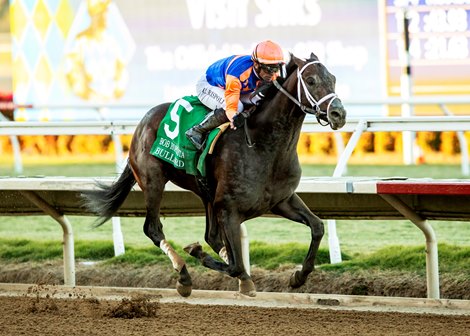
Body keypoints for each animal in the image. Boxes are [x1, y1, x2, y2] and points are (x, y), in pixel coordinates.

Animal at [81, 51, 346, 296]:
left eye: (333, 78)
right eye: (310, 80)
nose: (339, 114)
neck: (264, 145)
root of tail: (141, 124)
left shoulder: (281, 200)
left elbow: (317, 227)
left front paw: (298, 277)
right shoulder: (229, 209)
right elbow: (235, 265)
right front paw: (198, 253)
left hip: (206, 193)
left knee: (211, 237)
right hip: (153, 180)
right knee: (153, 229)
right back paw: (184, 275)